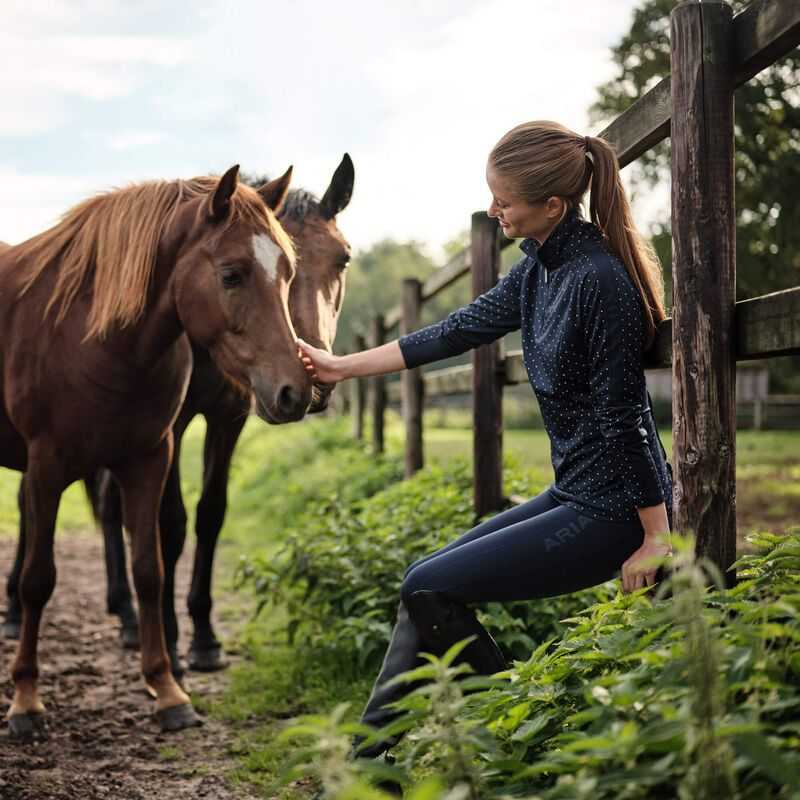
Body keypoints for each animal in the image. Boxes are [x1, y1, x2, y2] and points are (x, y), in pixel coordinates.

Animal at [2, 155, 354, 676]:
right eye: (234, 275)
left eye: (342, 258)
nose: (310, 384)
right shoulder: (172, 426)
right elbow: (170, 523)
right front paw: (169, 635)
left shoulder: (227, 419)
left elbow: (210, 514)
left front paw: (203, 635)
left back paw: (125, 611)